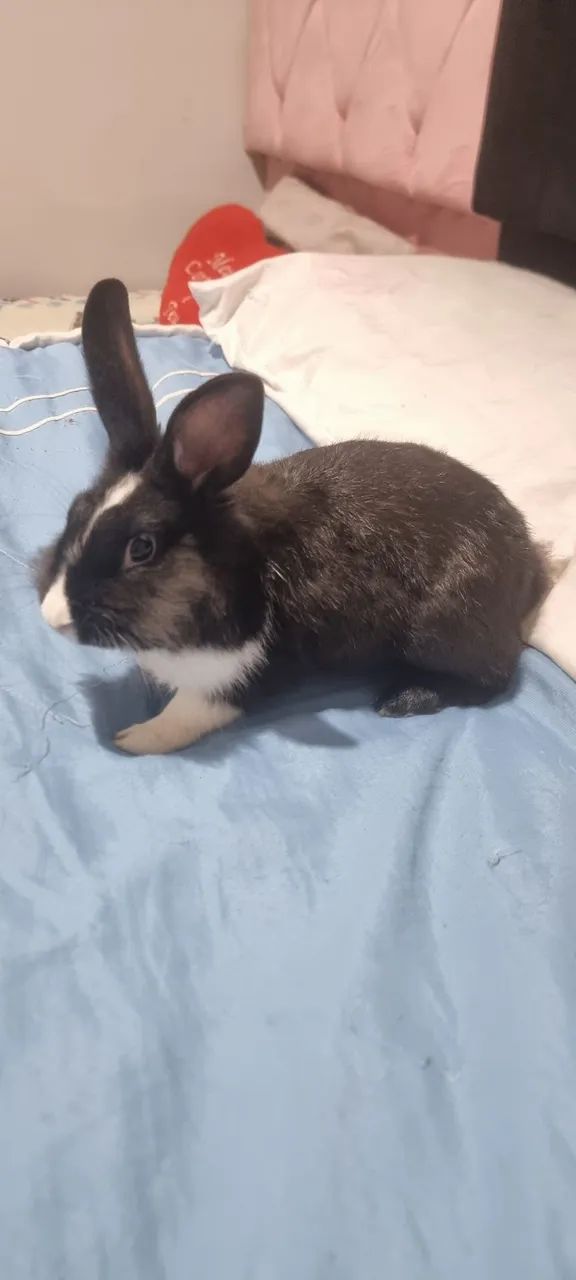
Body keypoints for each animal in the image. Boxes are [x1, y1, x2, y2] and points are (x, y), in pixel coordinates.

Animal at [37, 278, 547, 755]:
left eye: (141, 548)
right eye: (75, 512)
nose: (51, 616)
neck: (236, 566)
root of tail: (528, 558)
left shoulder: (238, 675)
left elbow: (184, 717)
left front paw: (133, 739)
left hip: (442, 630)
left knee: (495, 677)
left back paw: (404, 697)